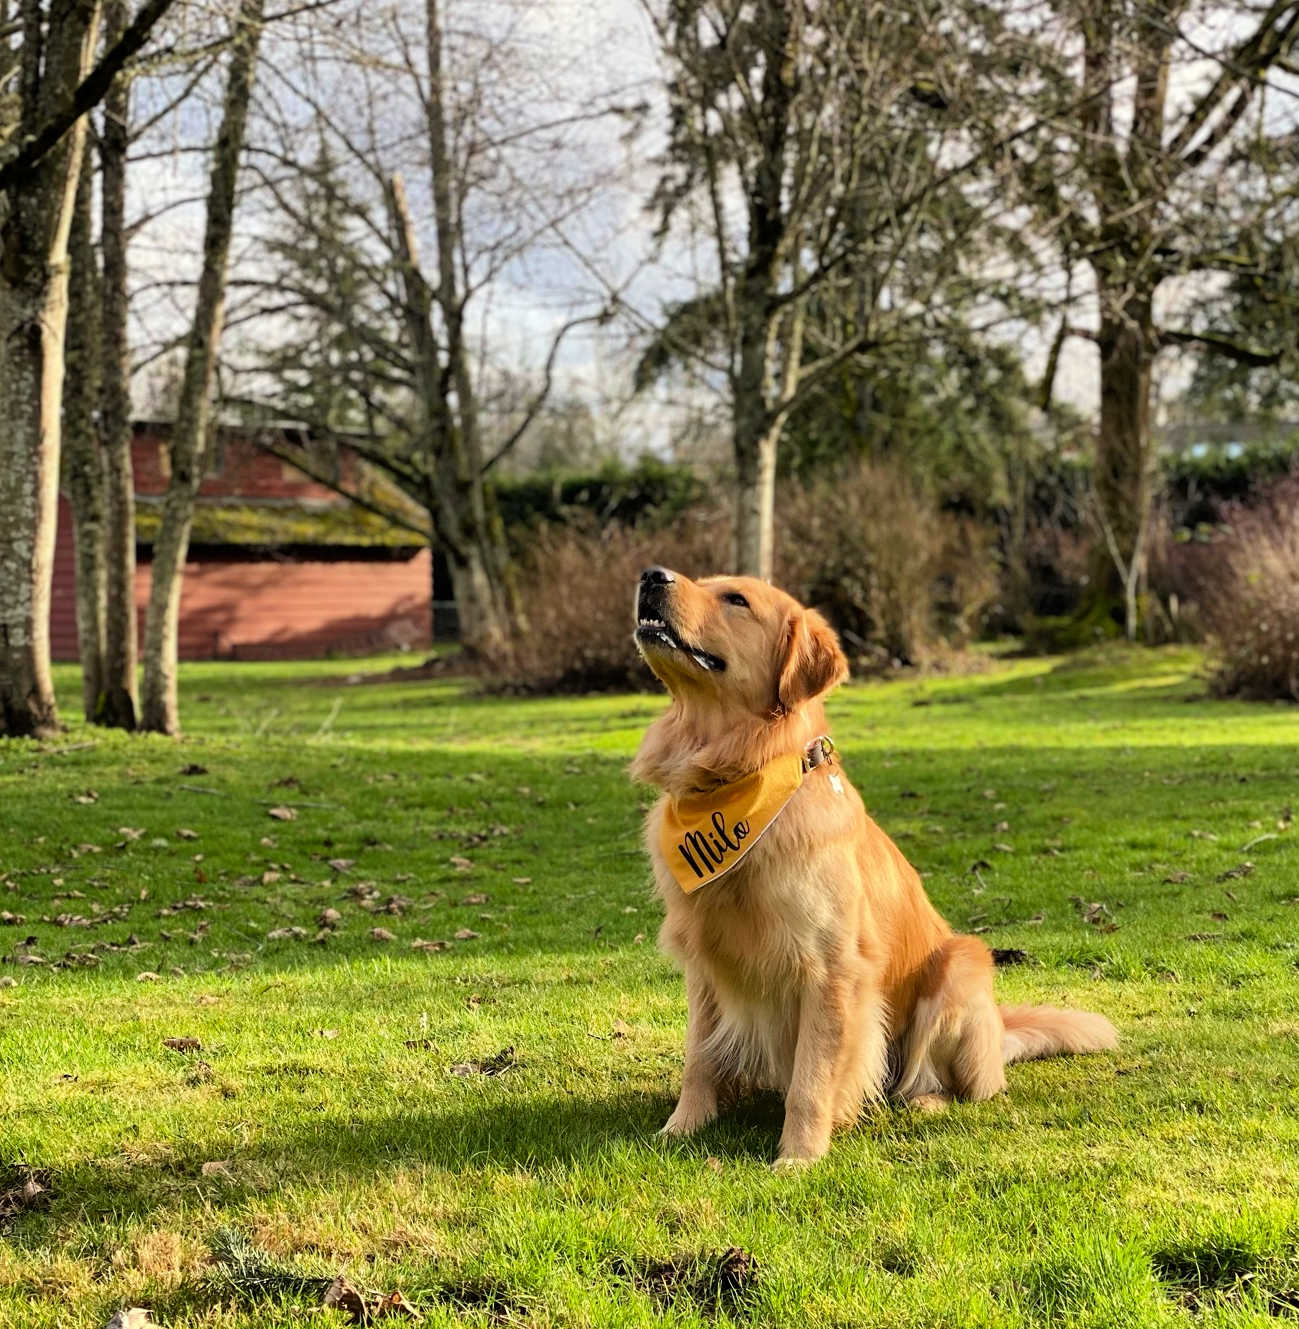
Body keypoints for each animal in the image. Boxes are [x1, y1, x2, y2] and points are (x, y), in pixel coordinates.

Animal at [630, 566, 1116, 1169]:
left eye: (736, 599)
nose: (651, 576)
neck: (736, 775)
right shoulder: (705, 965)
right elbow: (698, 1059)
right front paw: (681, 1128)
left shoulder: (833, 969)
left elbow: (812, 1081)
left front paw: (798, 1157)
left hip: (960, 967)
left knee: (946, 1082)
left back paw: (924, 1101)